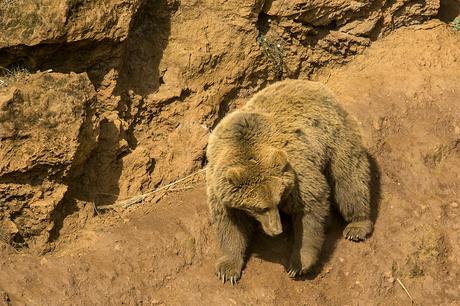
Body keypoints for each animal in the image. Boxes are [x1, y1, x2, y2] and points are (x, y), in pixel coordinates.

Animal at [207, 79, 372, 284]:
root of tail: (314, 85)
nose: (276, 230)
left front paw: (298, 264)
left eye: (276, 201)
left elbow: (311, 205)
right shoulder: (219, 187)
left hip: (336, 137)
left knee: (349, 179)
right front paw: (227, 270)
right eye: (260, 208)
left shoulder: (295, 169)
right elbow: (230, 223)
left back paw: (357, 225)